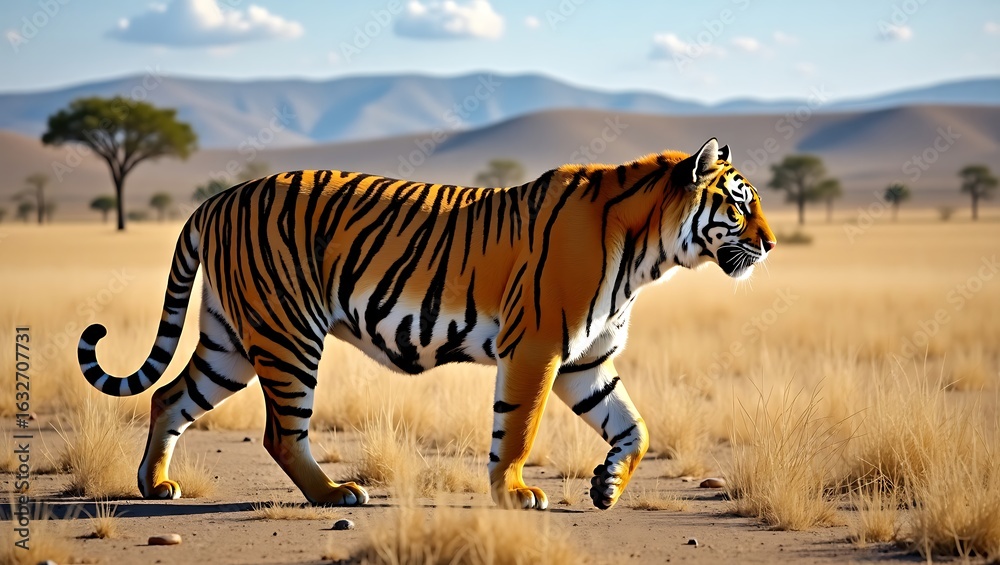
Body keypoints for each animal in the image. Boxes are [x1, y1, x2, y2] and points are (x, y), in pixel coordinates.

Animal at [77, 137, 775, 510]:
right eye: (741, 205)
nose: (769, 245)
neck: (648, 256)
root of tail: (217, 197)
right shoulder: (537, 348)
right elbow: (517, 430)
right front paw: (515, 494)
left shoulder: (586, 360)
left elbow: (636, 428)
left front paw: (606, 486)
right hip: (286, 335)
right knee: (280, 432)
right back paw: (336, 494)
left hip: (232, 342)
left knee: (170, 395)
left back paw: (155, 485)